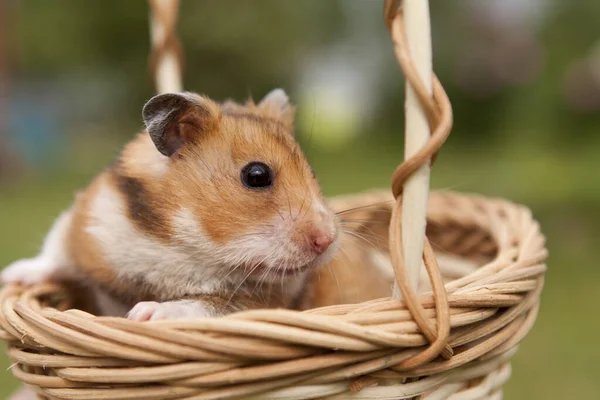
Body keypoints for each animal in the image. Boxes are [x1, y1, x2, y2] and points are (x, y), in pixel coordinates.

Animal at [1, 89, 342, 320]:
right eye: (256, 175)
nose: (327, 240)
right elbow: (55, 254)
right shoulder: (82, 220)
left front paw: (142, 314)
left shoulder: (257, 302)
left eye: (312, 172)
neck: (181, 241)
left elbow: (199, 305)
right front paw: (10, 275)